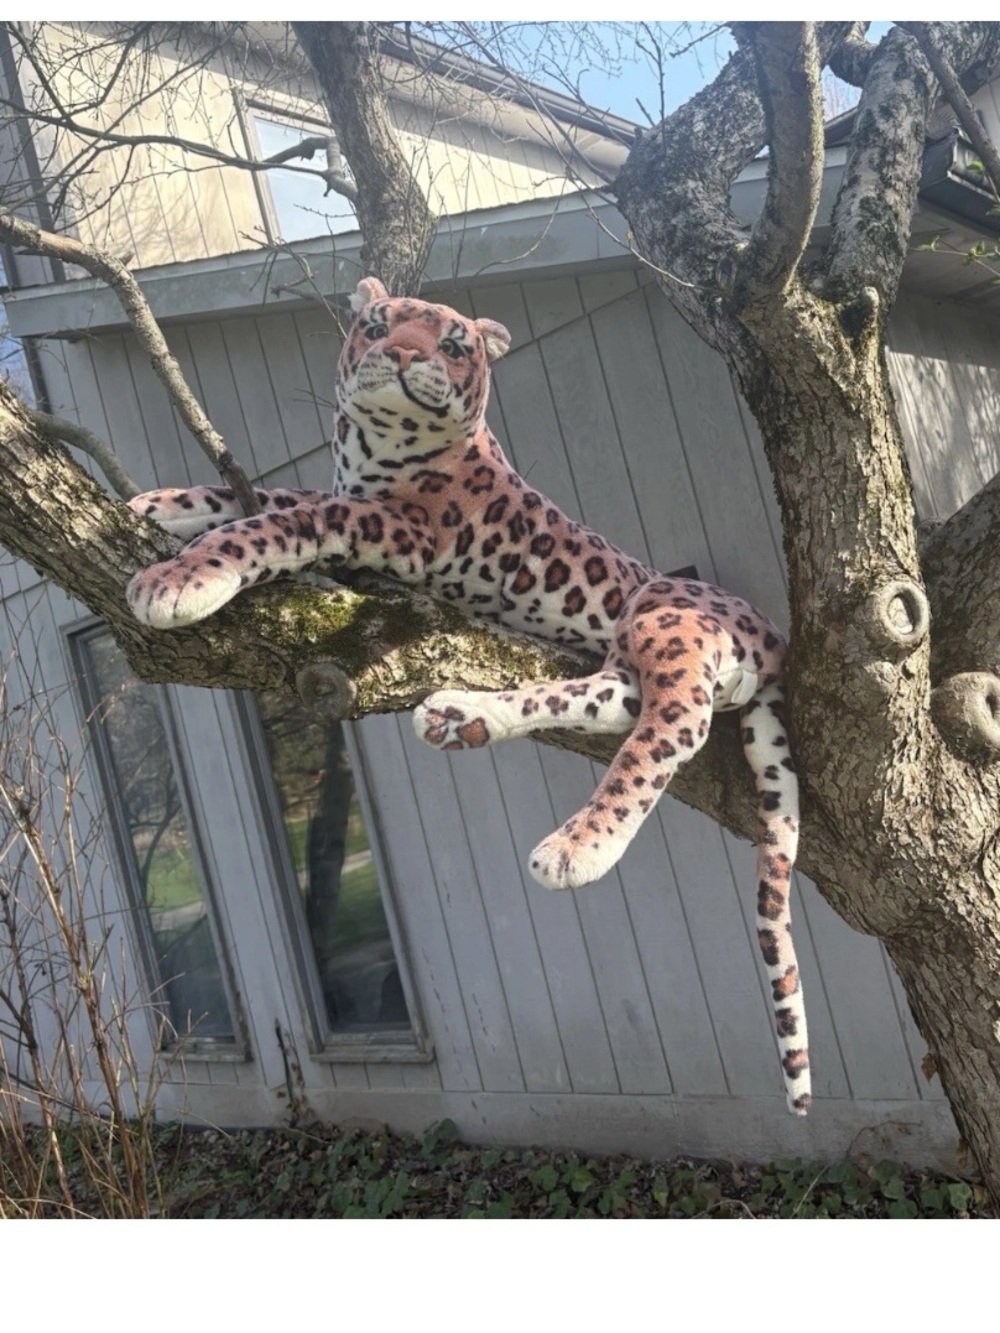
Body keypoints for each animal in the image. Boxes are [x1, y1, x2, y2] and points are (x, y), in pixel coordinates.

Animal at [126, 275, 810, 1115]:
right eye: (376, 324)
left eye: (453, 344)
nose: (400, 354)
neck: (373, 447)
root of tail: (770, 634)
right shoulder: (347, 493)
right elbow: (263, 492)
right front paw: (156, 504)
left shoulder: (396, 525)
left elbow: (280, 519)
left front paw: (180, 575)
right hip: (629, 649)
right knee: (615, 698)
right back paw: (463, 715)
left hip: (666, 622)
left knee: (667, 729)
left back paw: (577, 846)